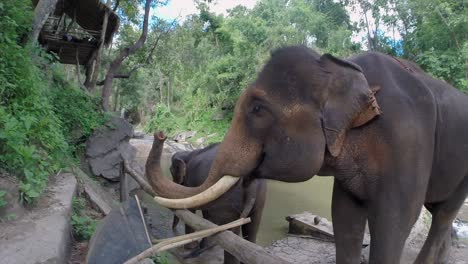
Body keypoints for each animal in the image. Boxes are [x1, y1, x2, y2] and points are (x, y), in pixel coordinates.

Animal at [146, 46, 468, 262]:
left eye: (257, 109)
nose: (160, 133)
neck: (344, 67)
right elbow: (344, 215)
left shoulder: (407, 140)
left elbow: (394, 220)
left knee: (443, 216)